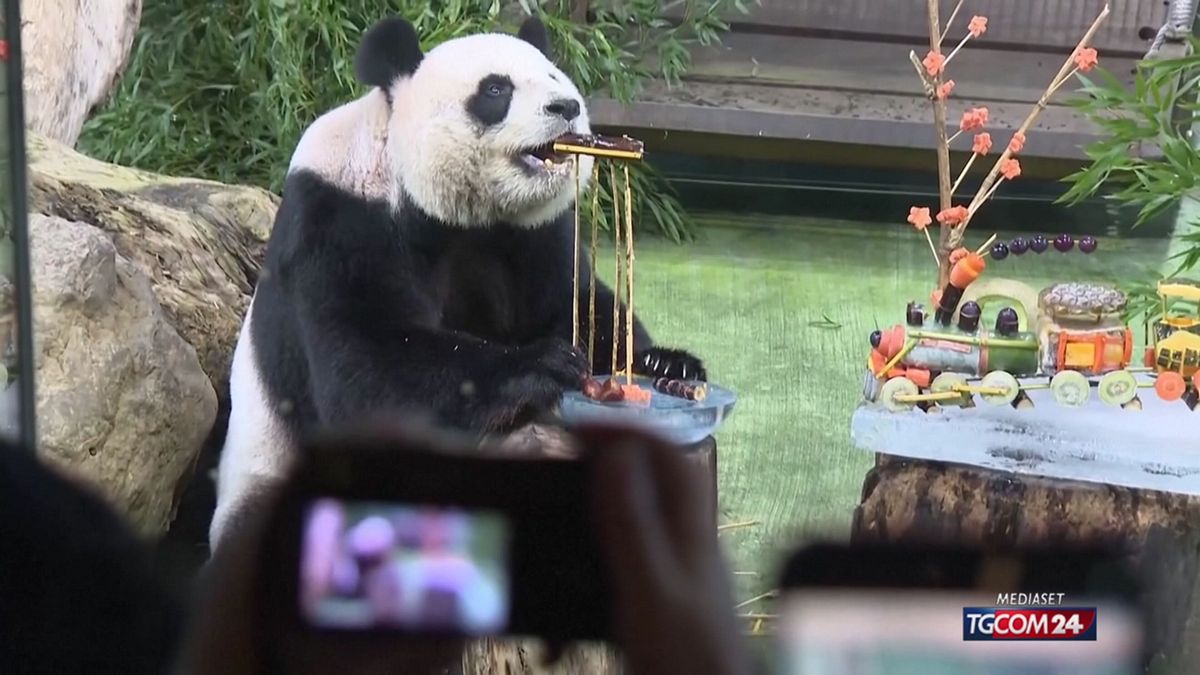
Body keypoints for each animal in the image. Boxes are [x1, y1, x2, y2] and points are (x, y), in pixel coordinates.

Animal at [209, 15, 707, 549]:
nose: (567, 108)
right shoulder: (339, 219)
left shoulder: (533, 233)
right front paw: (545, 364)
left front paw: (665, 363)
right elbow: (366, 367)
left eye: (556, 78)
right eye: (495, 90)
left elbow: (573, 300)